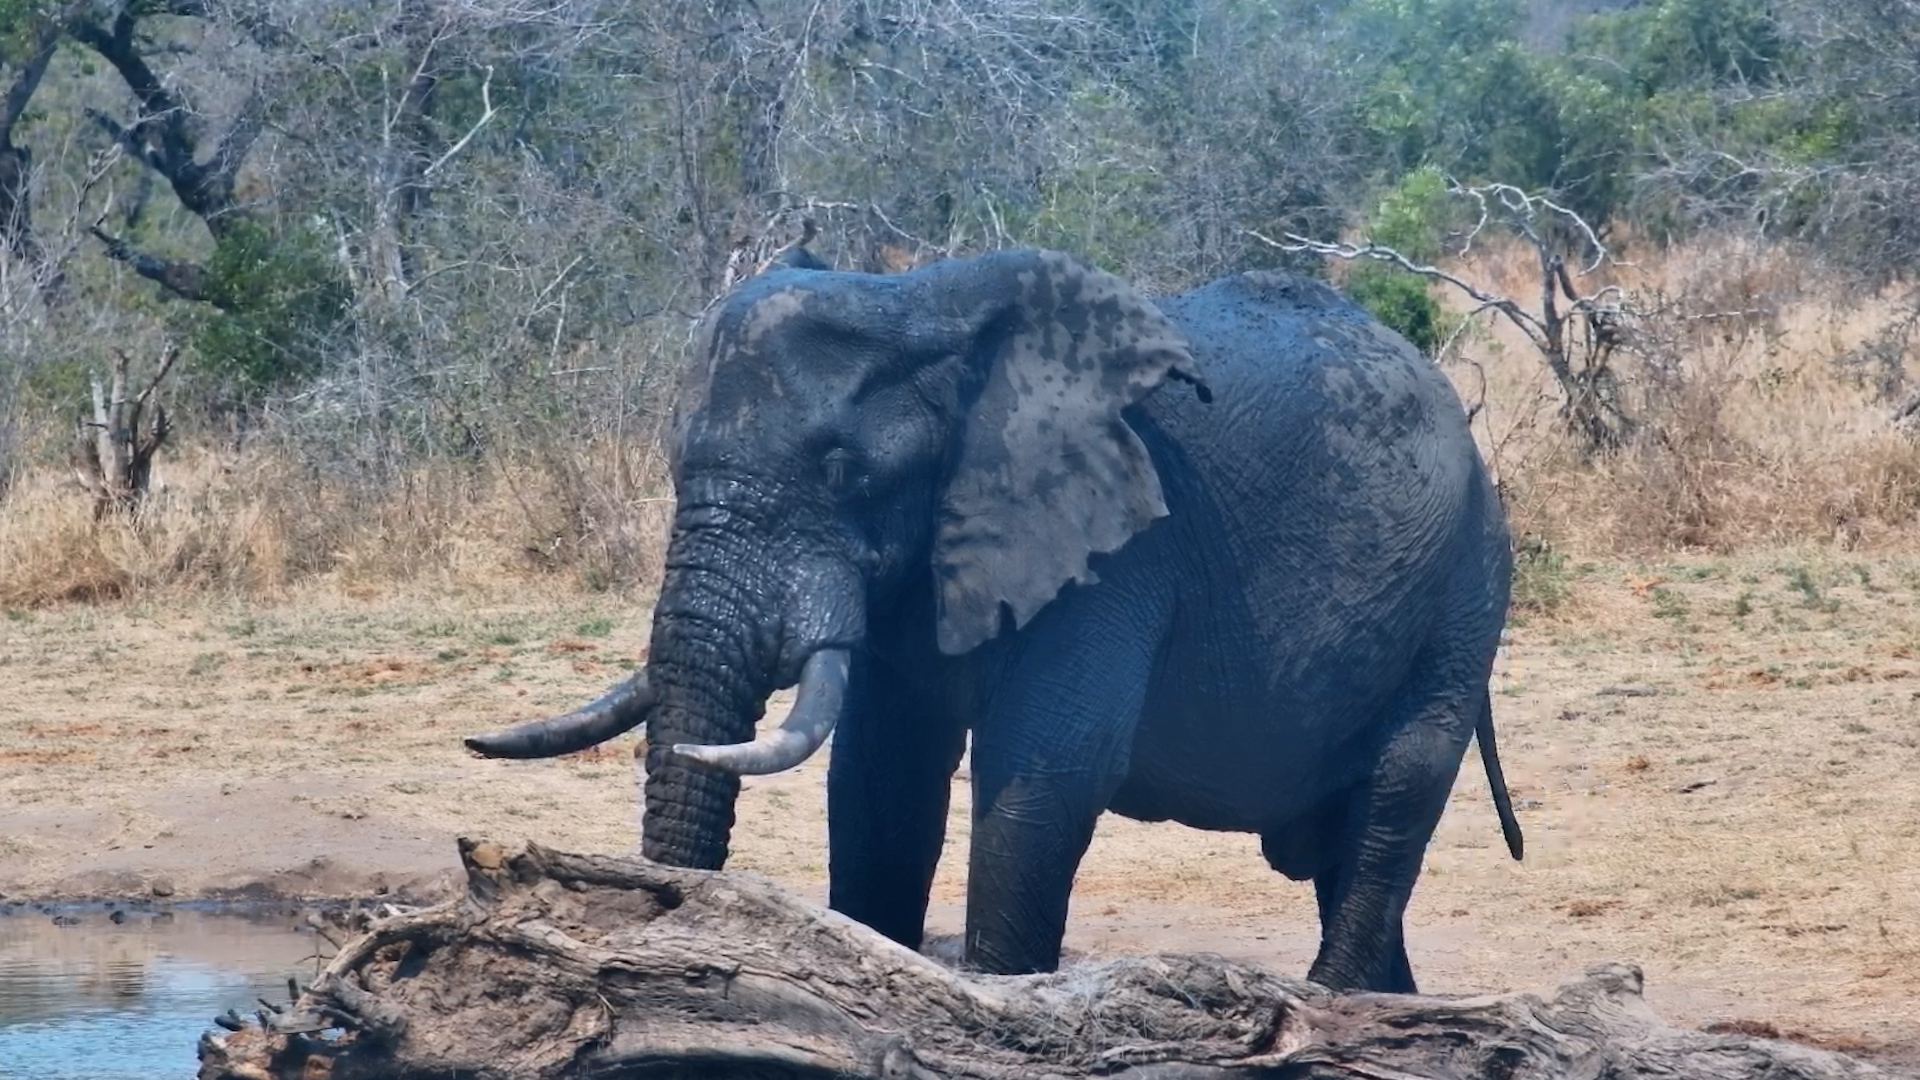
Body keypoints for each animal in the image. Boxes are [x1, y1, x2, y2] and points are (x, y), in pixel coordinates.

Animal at [465, 246, 1524, 993]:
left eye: (842, 471)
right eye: (672, 460)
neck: (920, 305)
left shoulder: (1122, 554)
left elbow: (1046, 772)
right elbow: (879, 780)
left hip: (1465, 589)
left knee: (1394, 799)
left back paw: (1335, 1004)